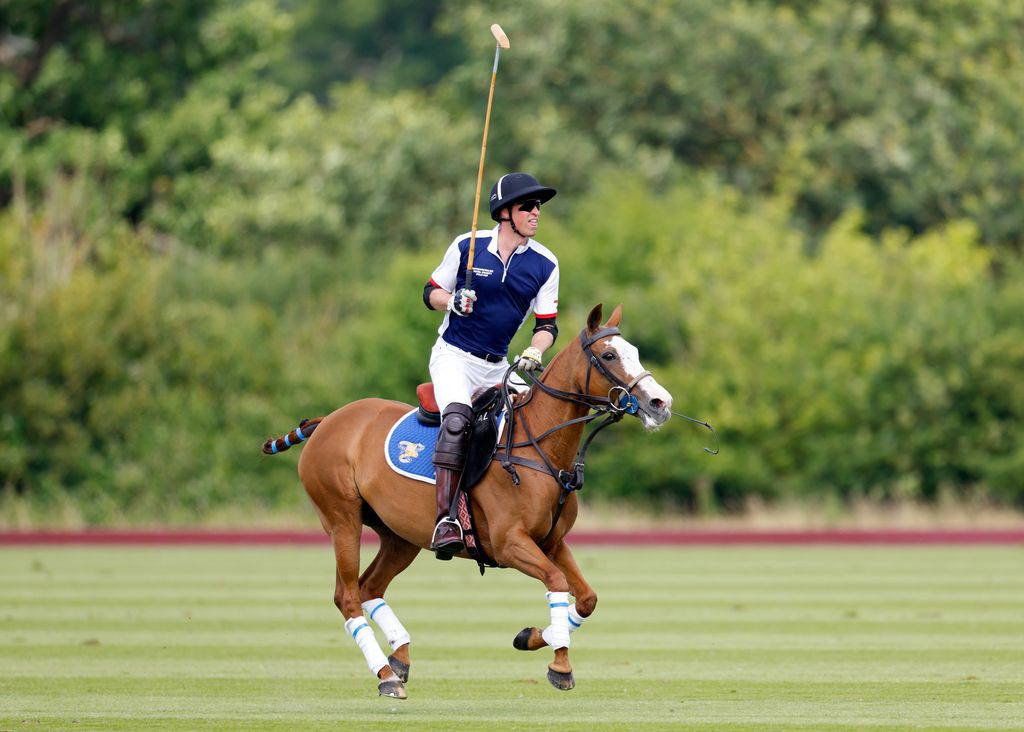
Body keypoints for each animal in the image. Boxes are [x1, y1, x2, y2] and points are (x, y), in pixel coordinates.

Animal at [264, 303, 671, 700]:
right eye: (609, 354)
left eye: (634, 352)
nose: (660, 403)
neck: (540, 449)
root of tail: (328, 420)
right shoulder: (509, 543)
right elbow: (557, 582)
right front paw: (559, 663)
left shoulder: (551, 542)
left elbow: (587, 598)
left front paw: (532, 638)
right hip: (342, 518)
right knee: (347, 596)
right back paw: (386, 676)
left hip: (400, 535)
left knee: (369, 588)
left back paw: (400, 657)